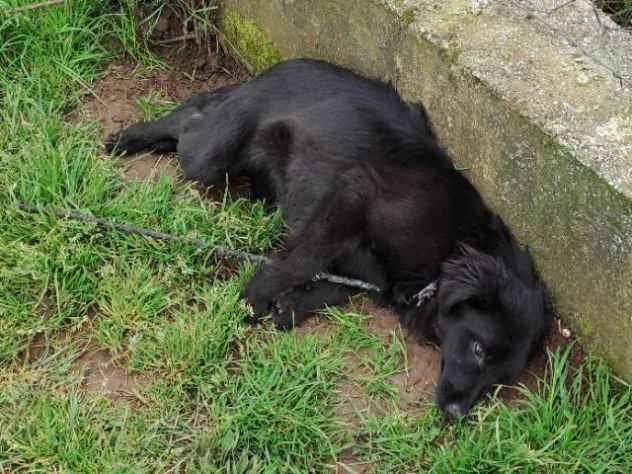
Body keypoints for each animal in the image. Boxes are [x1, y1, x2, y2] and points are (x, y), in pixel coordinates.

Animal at [106, 58, 552, 414]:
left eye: (499, 380)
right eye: (479, 350)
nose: (455, 415)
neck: (449, 248)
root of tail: (278, 68)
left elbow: (349, 281)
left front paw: (293, 305)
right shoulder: (352, 194)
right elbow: (301, 260)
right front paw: (251, 300)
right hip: (209, 157)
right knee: (192, 120)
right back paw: (129, 138)